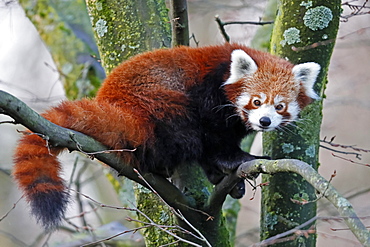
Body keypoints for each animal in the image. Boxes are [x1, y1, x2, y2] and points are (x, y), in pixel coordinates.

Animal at [12, 42, 320, 230]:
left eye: (280, 106)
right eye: (256, 102)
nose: (265, 121)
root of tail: (117, 105)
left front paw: (222, 176)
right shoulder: (208, 94)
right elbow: (214, 138)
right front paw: (235, 161)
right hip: (162, 106)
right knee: (186, 135)